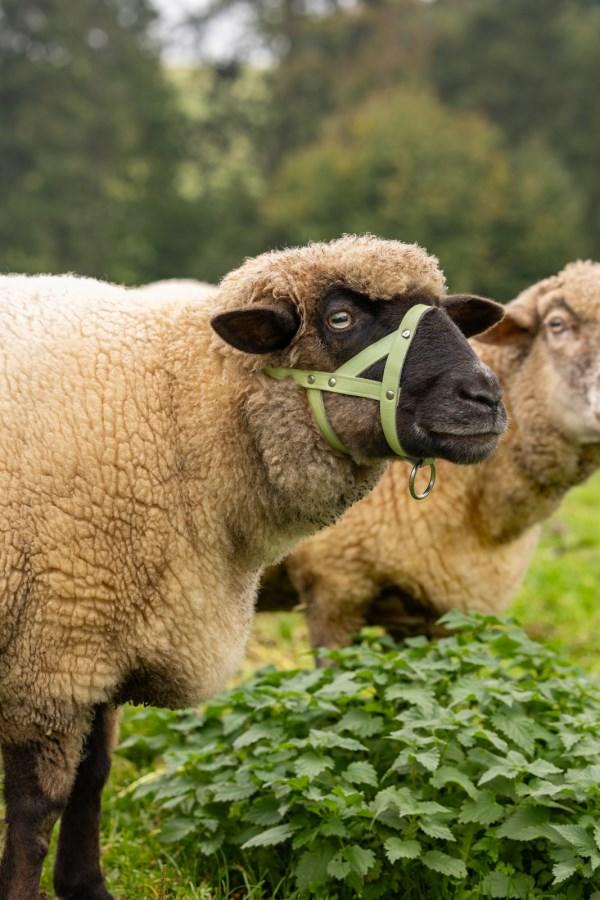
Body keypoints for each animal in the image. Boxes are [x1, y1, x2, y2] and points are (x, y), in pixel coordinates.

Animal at [0, 236, 506, 900]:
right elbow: (35, 810)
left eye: (443, 311)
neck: (177, 411)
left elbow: (95, 776)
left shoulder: (102, 634)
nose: (488, 398)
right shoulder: (55, 651)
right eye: (339, 318)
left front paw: (87, 888)